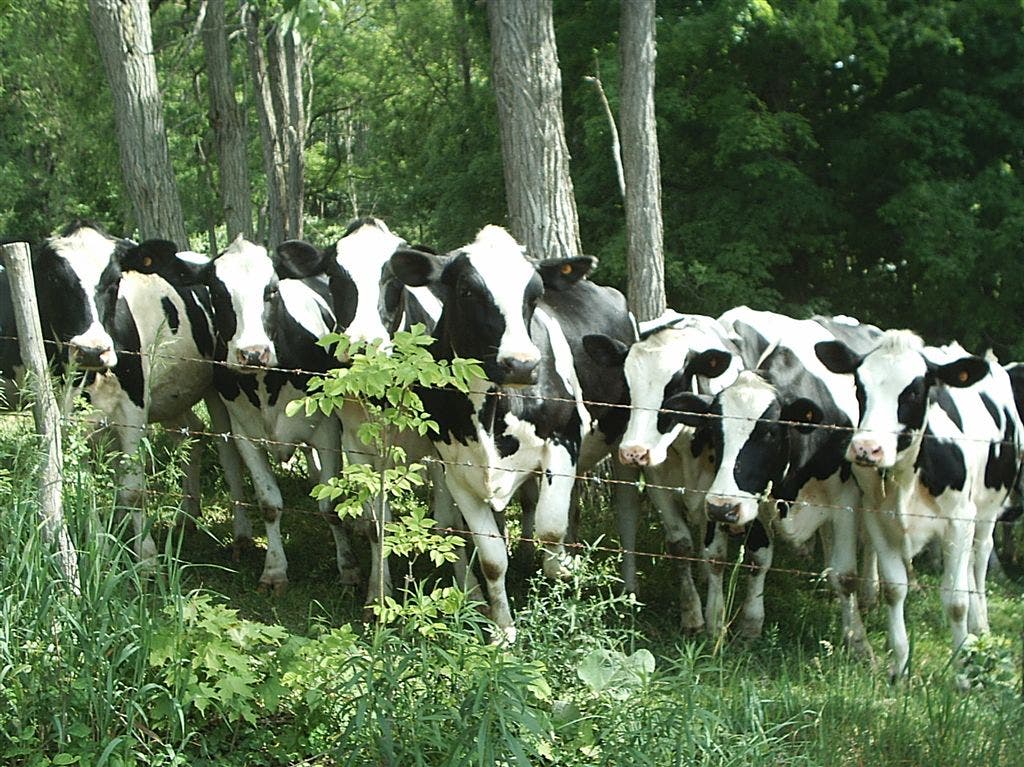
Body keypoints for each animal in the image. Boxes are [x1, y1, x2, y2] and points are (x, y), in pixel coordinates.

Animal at [387, 225, 634, 642]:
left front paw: (569, 578)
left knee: (614, 508)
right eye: (467, 290)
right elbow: (492, 559)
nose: (521, 364)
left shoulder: (563, 441)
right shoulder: (457, 469)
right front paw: (502, 631)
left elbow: (550, 532)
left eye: (534, 295)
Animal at [816, 330, 1023, 680]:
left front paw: (961, 674)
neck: (907, 478)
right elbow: (895, 590)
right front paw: (899, 668)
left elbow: (955, 600)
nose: (866, 448)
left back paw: (980, 627)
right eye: (859, 386)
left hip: (985, 512)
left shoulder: (959, 520)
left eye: (914, 392)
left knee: (980, 561)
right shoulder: (878, 520)